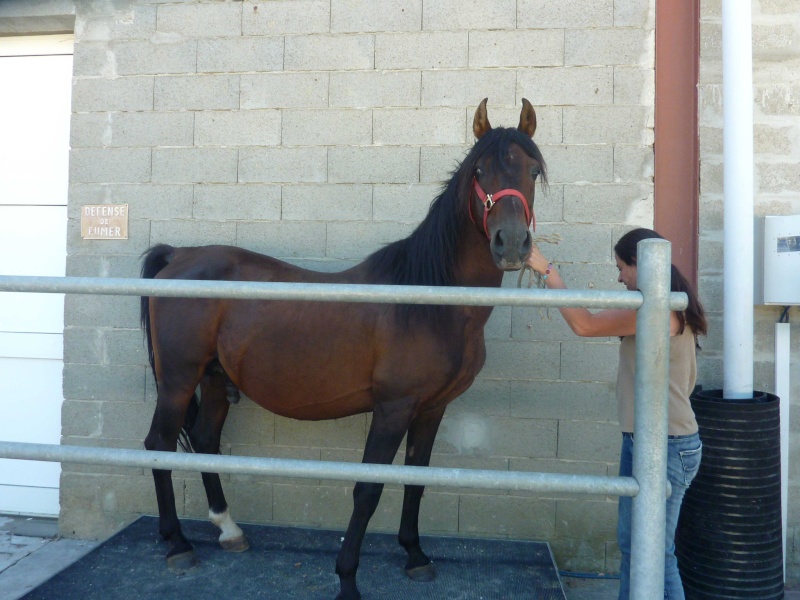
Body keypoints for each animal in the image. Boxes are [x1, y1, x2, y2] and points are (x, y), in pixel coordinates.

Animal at [142, 99, 544, 600]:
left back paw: (229, 530)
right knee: (159, 445)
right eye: (479, 171)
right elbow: (368, 490)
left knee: (203, 441)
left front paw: (415, 556)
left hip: (216, 379)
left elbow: (416, 481)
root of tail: (179, 256)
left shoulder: (433, 408)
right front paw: (348, 579)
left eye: (532, 169)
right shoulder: (393, 408)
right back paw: (177, 544)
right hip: (178, 380)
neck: (428, 302)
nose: (511, 243)